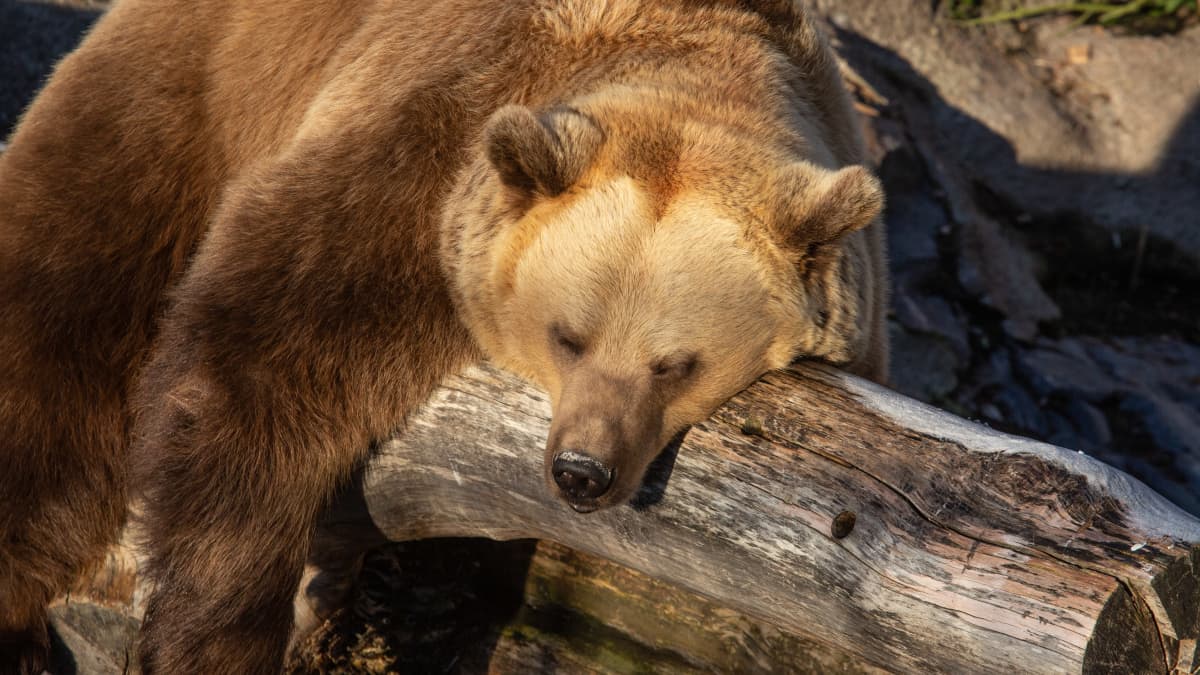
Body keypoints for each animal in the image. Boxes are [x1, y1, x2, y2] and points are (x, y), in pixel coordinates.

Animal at [0, 0, 883, 667]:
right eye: (568, 335)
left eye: (674, 363)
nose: (582, 473)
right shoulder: (435, 145)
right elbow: (262, 357)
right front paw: (221, 635)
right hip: (196, 94)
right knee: (61, 311)